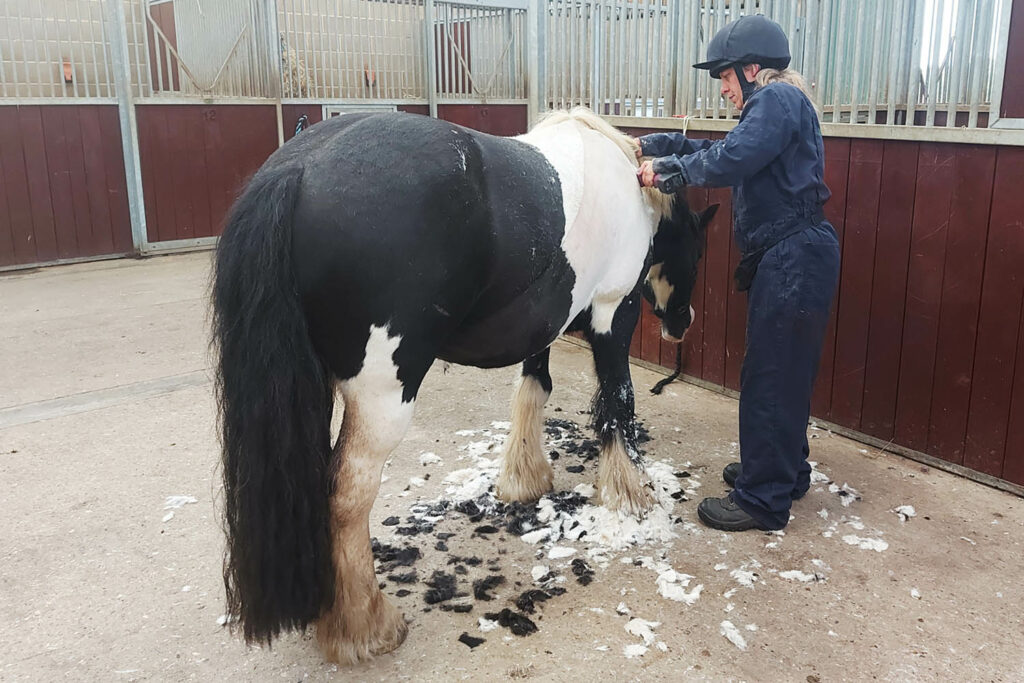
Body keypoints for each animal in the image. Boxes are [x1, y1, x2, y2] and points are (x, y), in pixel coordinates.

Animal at [211, 108, 716, 663]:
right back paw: (366, 626)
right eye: (696, 248)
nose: (682, 323)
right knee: (346, 494)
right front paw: (632, 496)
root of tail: (297, 169)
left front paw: (524, 478)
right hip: (384, 397)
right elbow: (619, 402)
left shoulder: (542, 326)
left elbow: (534, 389)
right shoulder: (612, 314)